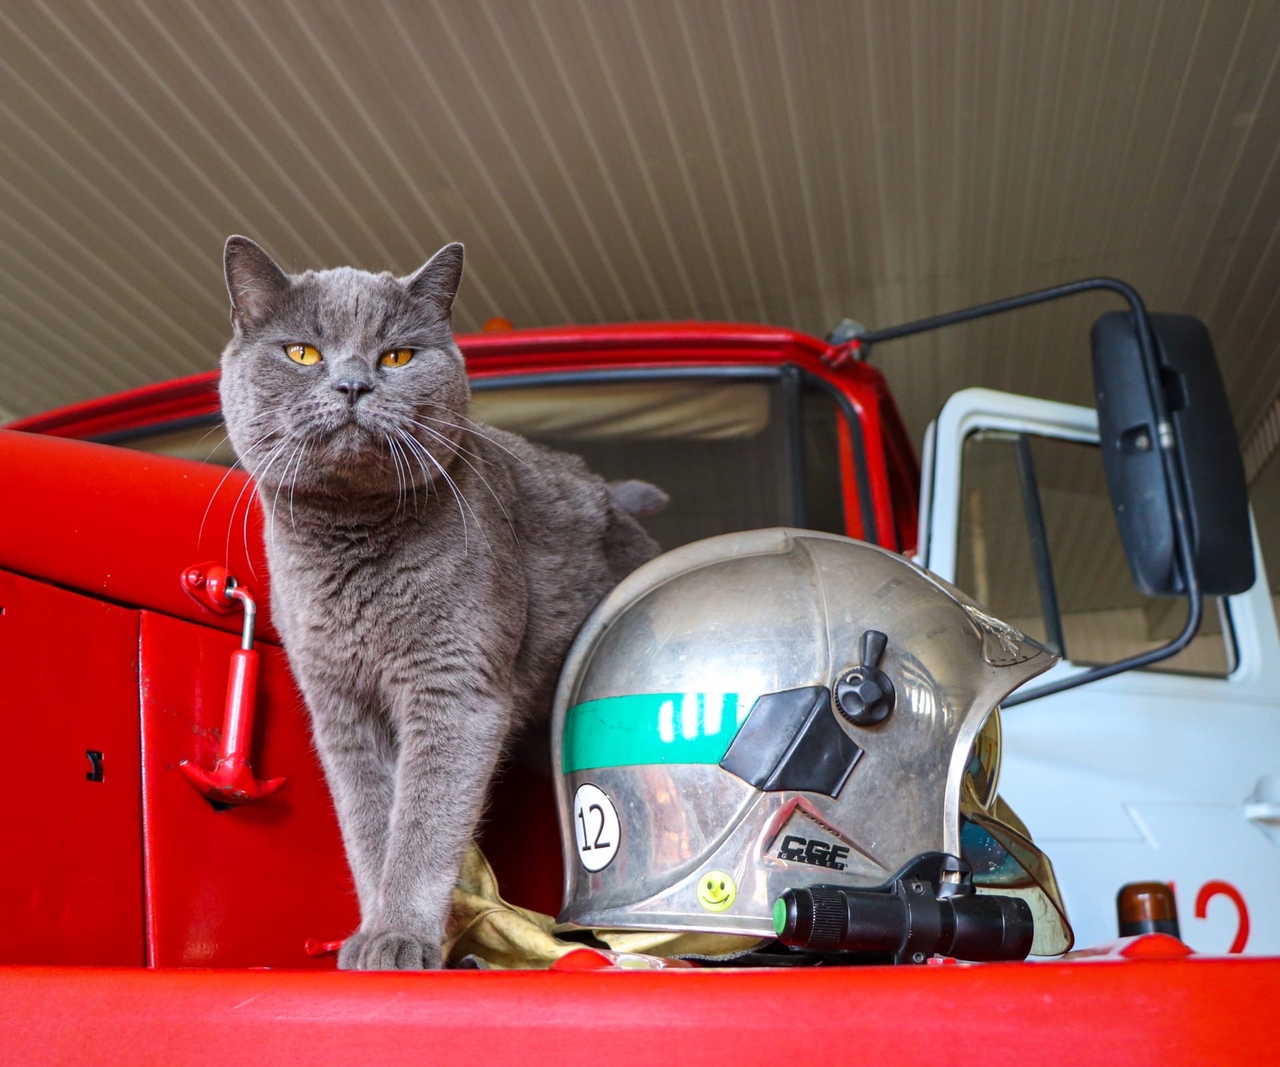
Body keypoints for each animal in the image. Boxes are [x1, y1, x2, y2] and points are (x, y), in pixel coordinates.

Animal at [216, 236, 665, 967]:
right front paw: (375, 933)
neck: (352, 547)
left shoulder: (454, 689)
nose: (353, 384)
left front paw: (401, 936)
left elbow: (423, 825)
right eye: (302, 352)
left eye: (397, 356)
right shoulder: (340, 708)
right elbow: (370, 827)